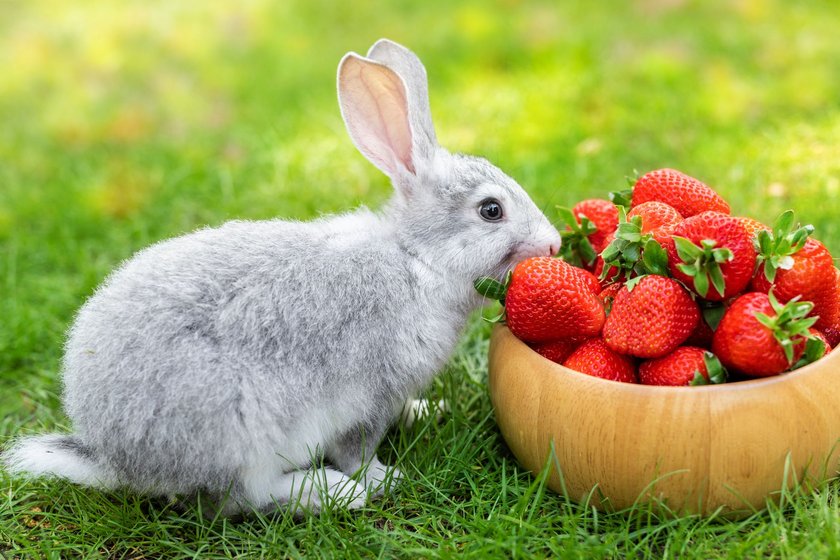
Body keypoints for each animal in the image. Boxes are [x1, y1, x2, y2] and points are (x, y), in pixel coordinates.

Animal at [3, 37, 564, 516]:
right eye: (491, 210)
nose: (555, 244)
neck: (415, 259)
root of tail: (116, 457)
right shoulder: (370, 394)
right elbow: (357, 448)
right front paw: (383, 478)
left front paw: (426, 411)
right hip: (243, 432)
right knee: (241, 498)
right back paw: (332, 493)